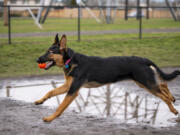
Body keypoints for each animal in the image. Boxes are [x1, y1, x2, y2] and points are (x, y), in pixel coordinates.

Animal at [35, 34, 180, 122]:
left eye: (50, 52)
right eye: (47, 51)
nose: (37, 59)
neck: (71, 60)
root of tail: (143, 59)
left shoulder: (72, 91)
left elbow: (60, 107)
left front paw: (50, 118)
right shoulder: (67, 86)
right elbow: (50, 92)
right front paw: (40, 100)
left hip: (147, 84)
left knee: (163, 95)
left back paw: (173, 109)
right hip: (143, 83)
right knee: (163, 84)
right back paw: (172, 98)